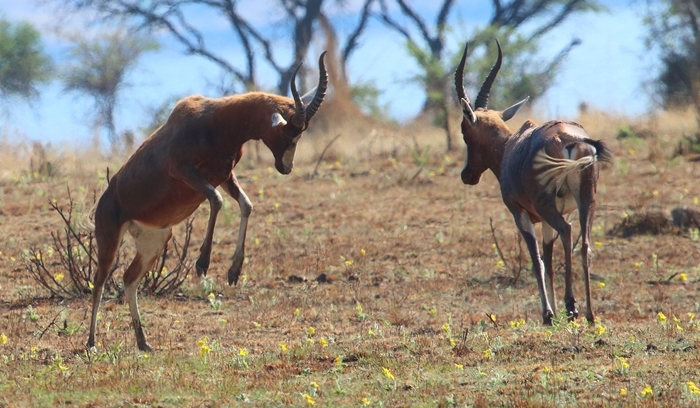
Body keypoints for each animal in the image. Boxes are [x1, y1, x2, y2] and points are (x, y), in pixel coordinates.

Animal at [87, 52, 328, 352]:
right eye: (288, 132)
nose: (286, 168)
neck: (215, 121)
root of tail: (104, 201)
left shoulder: (224, 175)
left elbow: (246, 205)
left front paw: (234, 271)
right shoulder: (185, 172)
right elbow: (217, 200)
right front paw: (202, 263)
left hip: (155, 240)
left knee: (129, 280)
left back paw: (144, 343)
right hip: (109, 237)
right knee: (99, 281)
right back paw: (91, 342)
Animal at [454, 42, 612, 326]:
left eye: (464, 130)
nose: (467, 175)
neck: (511, 146)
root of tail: (567, 137)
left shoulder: (521, 214)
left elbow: (537, 260)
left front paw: (548, 314)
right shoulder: (551, 217)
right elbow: (548, 259)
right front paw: (555, 311)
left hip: (546, 205)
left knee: (567, 231)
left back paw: (572, 307)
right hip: (587, 200)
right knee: (584, 243)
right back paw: (590, 314)